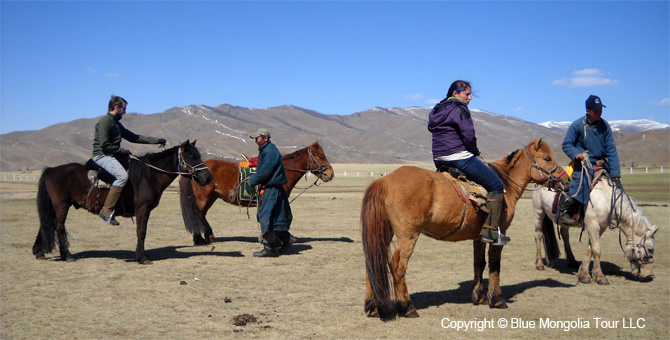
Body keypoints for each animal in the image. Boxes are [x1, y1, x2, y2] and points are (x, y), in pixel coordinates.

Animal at [32, 139, 213, 264]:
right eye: (192, 157)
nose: (208, 178)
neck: (149, 175)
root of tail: (52, 170)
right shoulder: (142, 209)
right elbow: (141, 232)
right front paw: (142, 257)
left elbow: (142, 231)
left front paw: (142, 255)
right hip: (62, 205)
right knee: (59, 227)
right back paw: (67, 255)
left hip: (55, 207)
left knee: (47, 225)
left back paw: (40, 252)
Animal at [180, 141, 334, 244]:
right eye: (320, 156)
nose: (330, 174)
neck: (281, 170)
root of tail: (192, 171)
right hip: (203, 198)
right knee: (198, 214)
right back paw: (201, 238)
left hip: (211, 197)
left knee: (201, 215)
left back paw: (206, 237)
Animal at [362, 137, 572, 318]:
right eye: (547, 158)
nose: (568, 181)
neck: (506, 185)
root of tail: (383, 181)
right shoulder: (498, 235)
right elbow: (495, 264)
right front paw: (496, 299)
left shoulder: (479, 237)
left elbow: (479, 263)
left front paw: (478, 297)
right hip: (408, 235)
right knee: (397, 266)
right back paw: (407, 307)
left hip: (384, 232)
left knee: (373, 262)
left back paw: (373, 307)